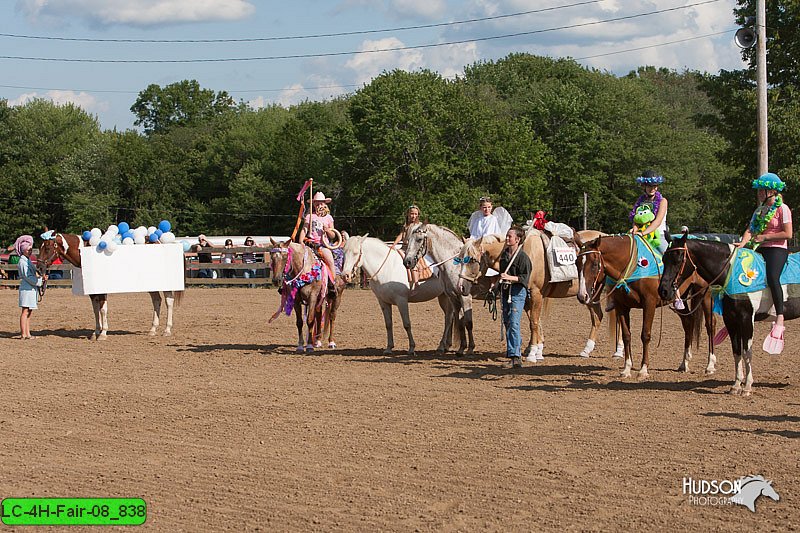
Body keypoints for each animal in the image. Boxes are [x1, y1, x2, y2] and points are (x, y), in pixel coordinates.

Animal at [37, 232, 183, 338]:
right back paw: (152, 330)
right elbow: (95, 310)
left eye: (48, 248)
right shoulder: (93, 291)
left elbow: (102, 309)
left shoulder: (102, 290)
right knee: (157, 300)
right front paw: (95, 332)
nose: (39, 267)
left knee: (169, 301)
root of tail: (160, 241)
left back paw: (167, 330)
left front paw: (103, 333)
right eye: (40, 248)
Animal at [400, 222, 476, 356]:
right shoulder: (453, 297)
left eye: (419, 239)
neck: (455, 264)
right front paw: (462, 348)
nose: (407, 262)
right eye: (408, 240)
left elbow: (468, 322)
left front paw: (471, 348)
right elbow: (460, 322)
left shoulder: (465, 297)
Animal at [456, 228, 620, 358]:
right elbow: (533, 321)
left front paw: (534, 352)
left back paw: (608, 351)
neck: (525, 252)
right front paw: (535, 348)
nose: (461, 287)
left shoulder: (536, 293)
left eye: (472, 260)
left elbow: (534, 322)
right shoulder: (526, 295)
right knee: (599, 316)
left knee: (604, 316)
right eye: (459, 258)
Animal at [572, 234, 716, 378]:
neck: (632, 267)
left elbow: (645, 335)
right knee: (688, 322)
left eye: (595, 264)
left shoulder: (649, 303)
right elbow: (626, 335)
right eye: (576, 263)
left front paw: (643, 369)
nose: (582, 295)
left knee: (710, 325)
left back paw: (710, 365)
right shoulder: (622, 306)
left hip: (705, 293)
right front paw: (627, 369)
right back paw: (684, 363)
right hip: (681, 300)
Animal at [660, 233, 796, 394]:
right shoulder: (731, 320)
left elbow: (747, 352)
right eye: (664, 259)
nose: (663, 291)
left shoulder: (746, 319)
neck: (731, 274)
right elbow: (736, 352)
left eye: (678, 259)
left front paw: (747, 387)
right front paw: (736, 385)